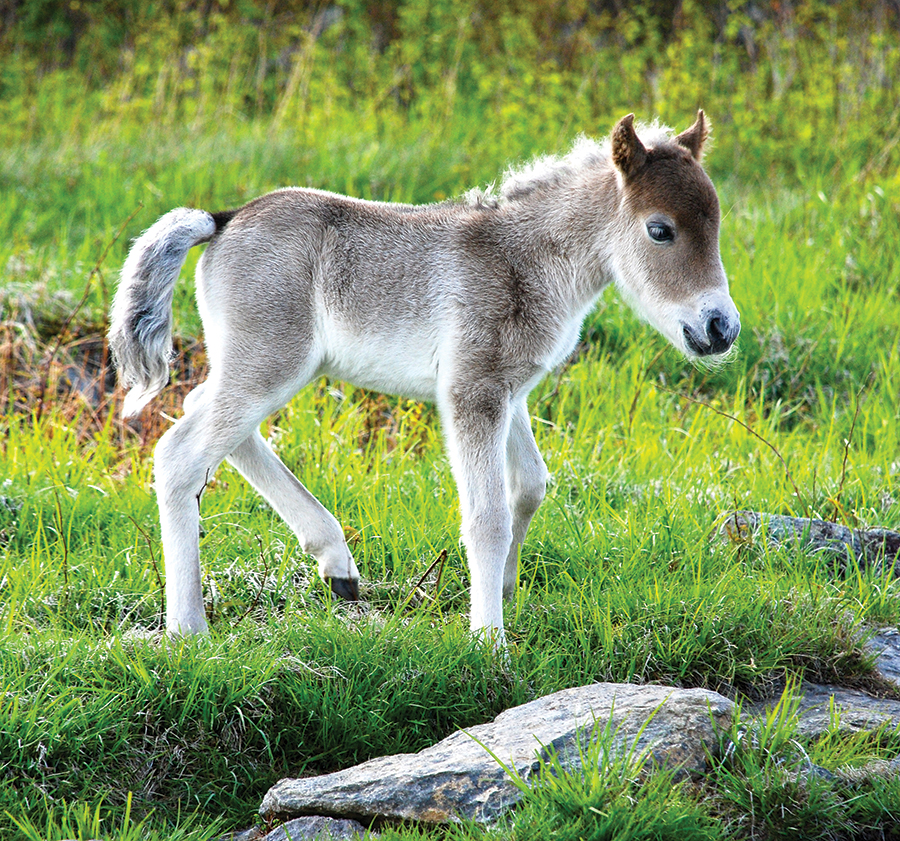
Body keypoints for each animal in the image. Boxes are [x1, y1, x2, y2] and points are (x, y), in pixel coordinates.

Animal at [109, 111, 740, 644]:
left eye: (716, 224)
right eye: (660, 230)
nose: (721, 328)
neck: (524, 260)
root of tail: (222, 220)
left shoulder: (510, 391)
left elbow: (530, 485)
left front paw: (504, 592)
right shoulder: (472, 391)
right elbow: (486, 516)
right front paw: (489, 641)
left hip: (257, 366)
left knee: (201, 412)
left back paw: (337, 564)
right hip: (269, 363)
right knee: (178, 455)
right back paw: (188, 630)